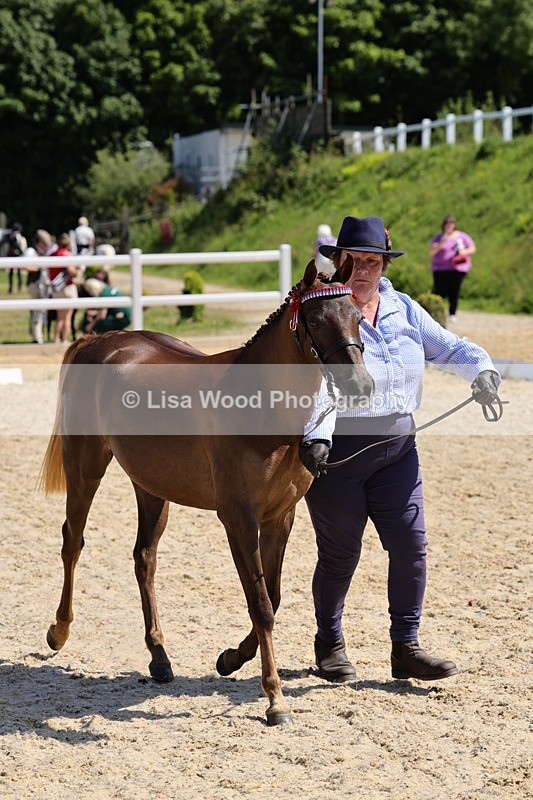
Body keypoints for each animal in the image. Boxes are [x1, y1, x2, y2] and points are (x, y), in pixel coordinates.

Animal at [39, 256, 374, 726]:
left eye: (358, 317)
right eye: (315, 320)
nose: (362, 387)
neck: (260, 407)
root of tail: (98, 340)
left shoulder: (281, 516)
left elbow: (271, 596)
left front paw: (231, 659)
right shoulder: (237, 518)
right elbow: (260, 604)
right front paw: (275, 699)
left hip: (151, 485)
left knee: (144, 558)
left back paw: (159, 658)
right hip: (85, 466)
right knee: (73, 541)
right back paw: (59, 631)